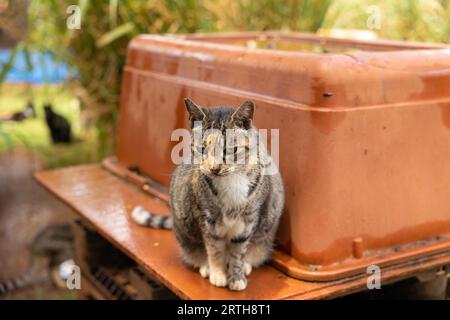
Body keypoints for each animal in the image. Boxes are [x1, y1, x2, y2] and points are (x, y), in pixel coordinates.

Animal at [131, 99, 284, 292]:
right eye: (201, 148)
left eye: (230, 150)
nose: (214, 168)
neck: (231, 181)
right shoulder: (206, 218)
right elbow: (214, 249)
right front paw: (217, 274)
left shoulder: (248, 220)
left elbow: (238, 252)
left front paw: (236, 276)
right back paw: (206, 266)